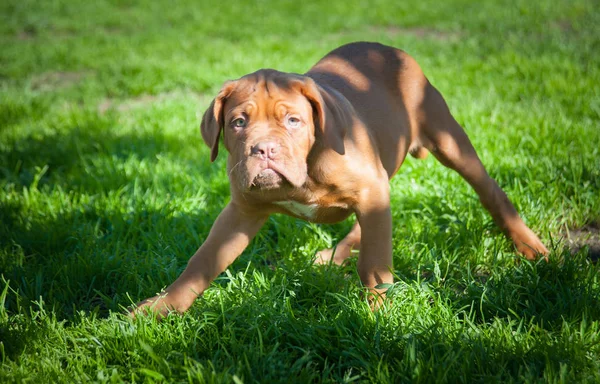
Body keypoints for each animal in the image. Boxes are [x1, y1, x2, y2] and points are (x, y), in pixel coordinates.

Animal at [131, 42, 548, 318]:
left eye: (293, 120)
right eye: (238, 122)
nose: (264, 150)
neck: (304, 174)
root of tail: (386, 48)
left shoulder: (371, 189)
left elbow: (375, 264)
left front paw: (376, 313)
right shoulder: (241, 210)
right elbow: (202, 262)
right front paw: (161, 308)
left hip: (447, 136)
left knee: (490, 191)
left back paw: (531, 247)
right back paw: (334, 255)